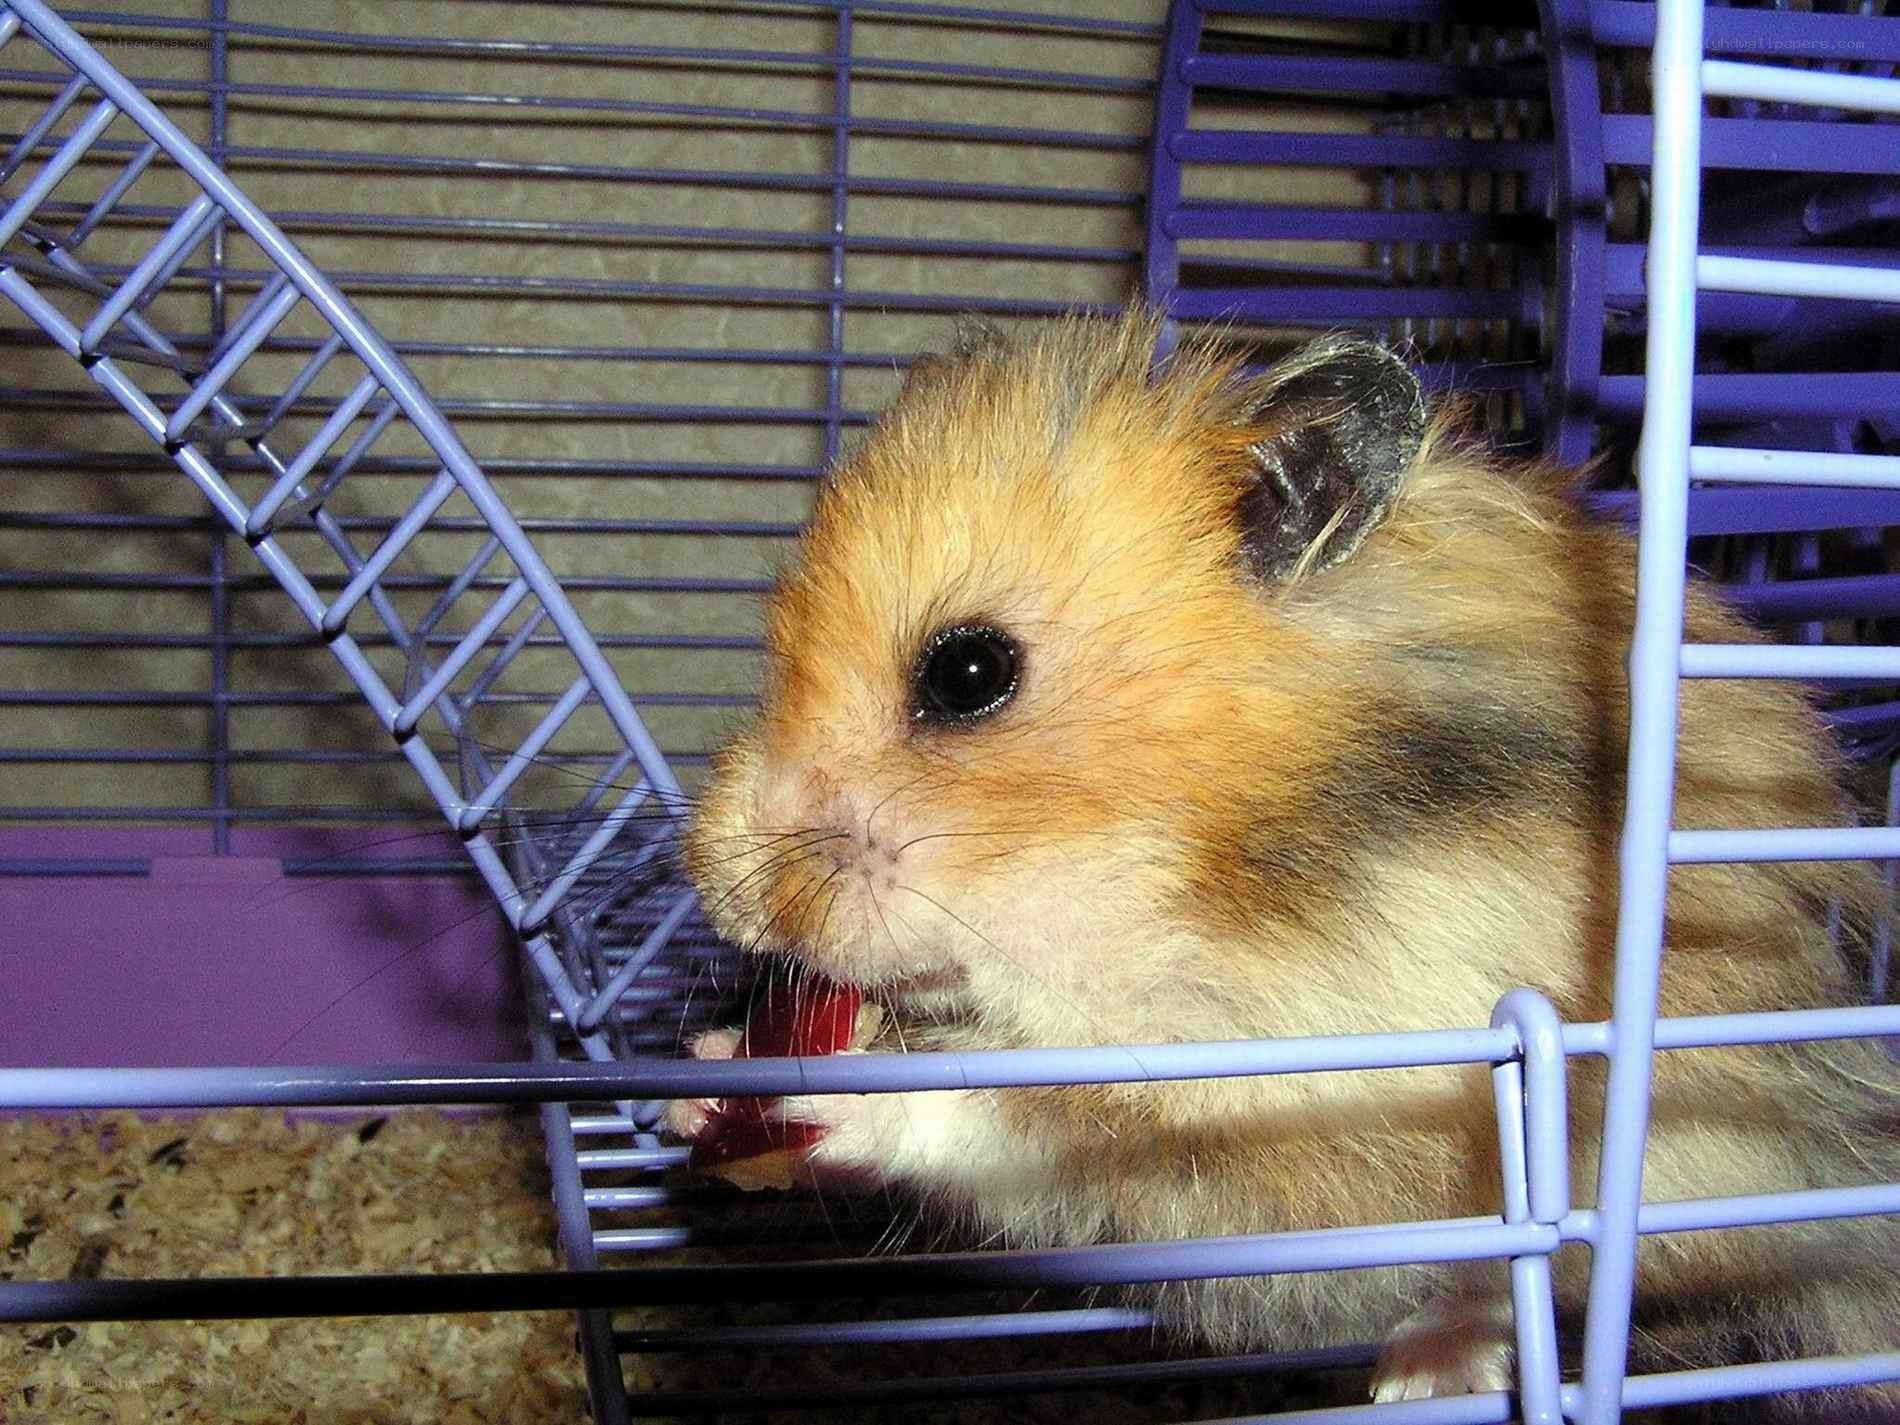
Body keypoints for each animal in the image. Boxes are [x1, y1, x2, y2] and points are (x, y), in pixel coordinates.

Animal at [667, 305, 1900, 1419]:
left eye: (968, 672)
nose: (723, 892)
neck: (1192, 867)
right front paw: (706, 1075)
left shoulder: (1281, 1087)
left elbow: (1017, 1116)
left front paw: (825, 1101)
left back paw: (1420, 1373)